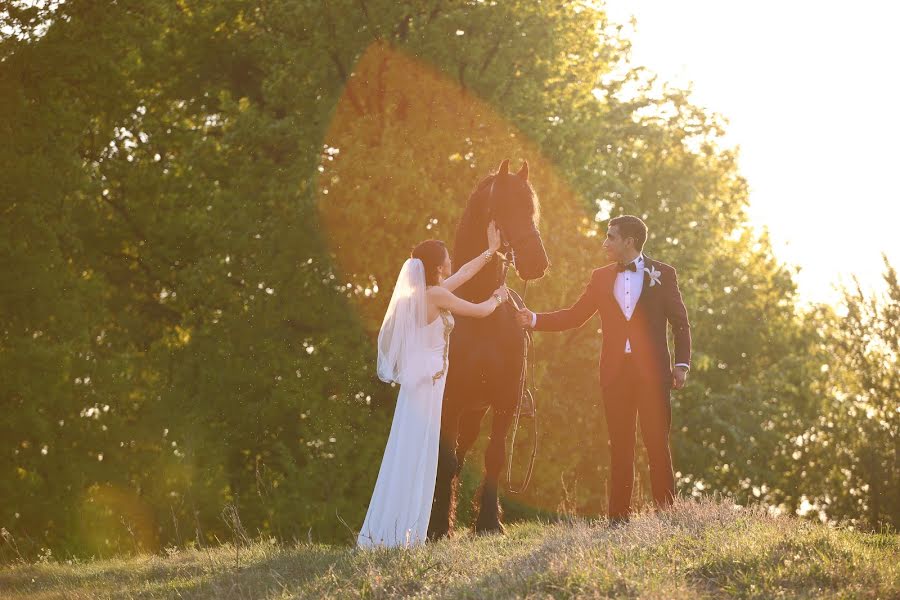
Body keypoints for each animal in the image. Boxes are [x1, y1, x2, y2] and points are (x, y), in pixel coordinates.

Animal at [428, 157, 548, 536]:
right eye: (504, 207)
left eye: (531, 209)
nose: (536, 262)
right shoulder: (450, 399)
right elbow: (446, 459)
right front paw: (440, 527)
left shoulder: (505, 398)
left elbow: (494, 456)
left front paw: (489, 522)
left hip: (475, 411)